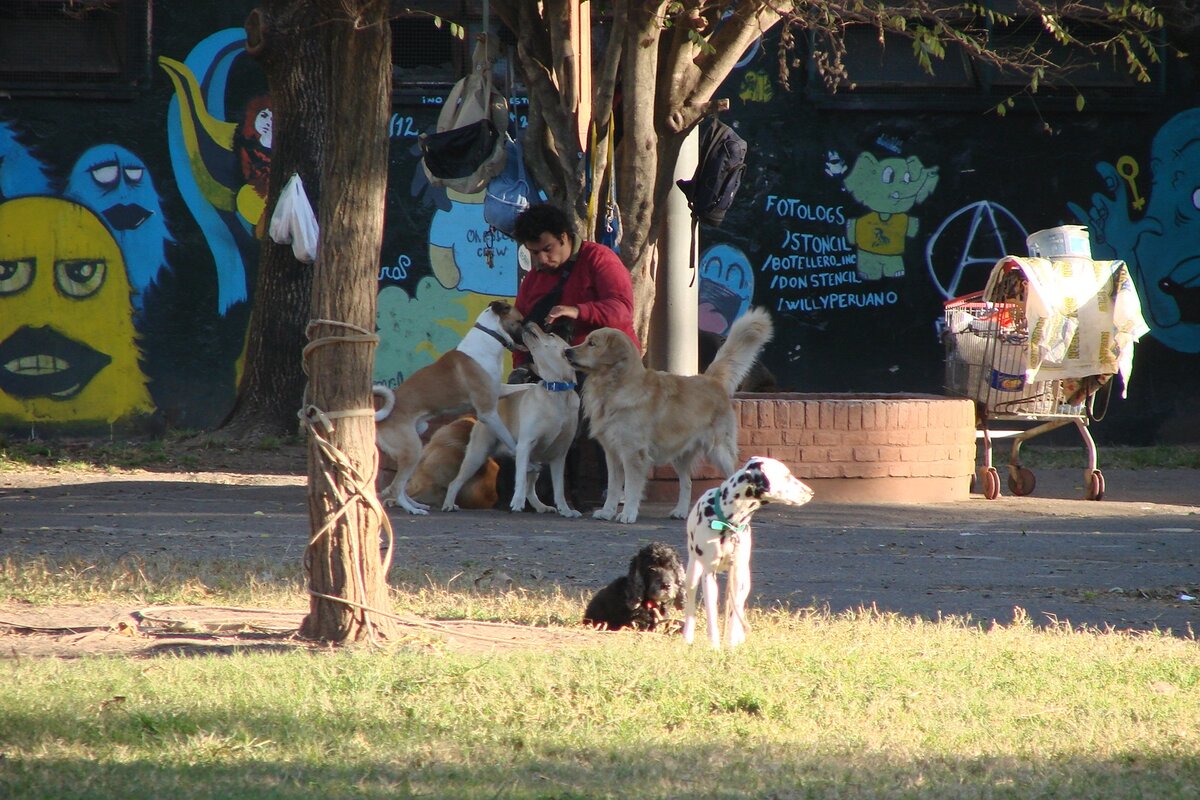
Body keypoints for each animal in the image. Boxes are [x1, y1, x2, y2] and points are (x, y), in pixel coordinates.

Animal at [372, 299, 528, 513]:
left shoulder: (500, 390)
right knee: (397, 486)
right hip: (412, 449)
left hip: (416, 440)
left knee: (402, 485)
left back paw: (416, 504)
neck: (489, 337)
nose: (533, 331)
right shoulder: (487, 412)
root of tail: (381, 419)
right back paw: (413, 509)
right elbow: (508, 437)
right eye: (520, 321)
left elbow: (529, 386)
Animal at [446, 321, 585, 515]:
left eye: (550, 335)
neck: (556, 390)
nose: (530, 322)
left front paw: (566, 510)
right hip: (478, 455)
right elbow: (520, 479)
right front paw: (516, 502)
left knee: (531, 489)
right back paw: (449, 504)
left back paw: (541, 506)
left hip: (537, 461)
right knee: (455, 483)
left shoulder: (560, 454)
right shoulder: (525, 445)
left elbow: (559, 488)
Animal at [566, 309, 772, 525]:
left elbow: (631, 488)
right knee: (687, 483)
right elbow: (613, 486)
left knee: (733, 476)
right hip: (680, 455)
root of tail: (711, 380)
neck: (615, 385)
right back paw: (680, 511)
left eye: (592, 343)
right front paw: (607, 512)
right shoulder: (612, 452)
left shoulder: (633, 453)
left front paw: (628, 513)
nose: (567, 351)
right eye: (585, 340)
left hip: (719, 450)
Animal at [686, 455, 816, 652]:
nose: (811, 492)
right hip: (693, 573)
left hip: (743, 580)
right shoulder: (709, 575)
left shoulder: (739, 577)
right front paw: (715, 645)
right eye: (786, 476)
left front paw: (732, 644)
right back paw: (687, 637)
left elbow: (734, 615)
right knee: (690, 607)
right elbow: (711, 617)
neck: (728, 521)